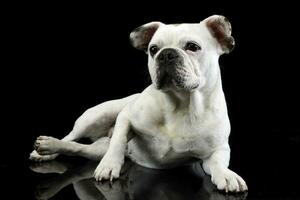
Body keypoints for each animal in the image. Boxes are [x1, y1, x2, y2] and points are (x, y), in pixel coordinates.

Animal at [29, 14, 248, 193]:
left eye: (193, 47)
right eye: (153, 49)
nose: (166, 53)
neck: (180, 104)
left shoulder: (218, 150)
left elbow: (218, 164)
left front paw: (227, 175)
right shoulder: (126, 117)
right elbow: (118, 140)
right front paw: (109, 165)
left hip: (96, 149)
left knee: (78, 148)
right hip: (95, 116)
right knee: (71, 137)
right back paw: (46, 149)